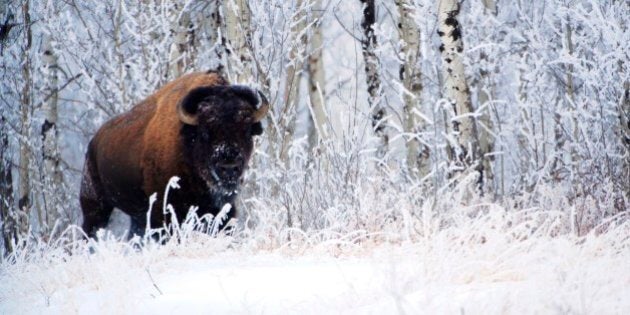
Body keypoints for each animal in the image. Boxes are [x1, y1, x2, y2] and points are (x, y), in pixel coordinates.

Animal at [80, 71, 268, 238]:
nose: (229, 167)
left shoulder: (223, 209)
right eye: (204, 132)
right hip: (95, 206)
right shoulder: (165, 213)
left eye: (246, 130)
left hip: (136, 216)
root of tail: (93, 143)